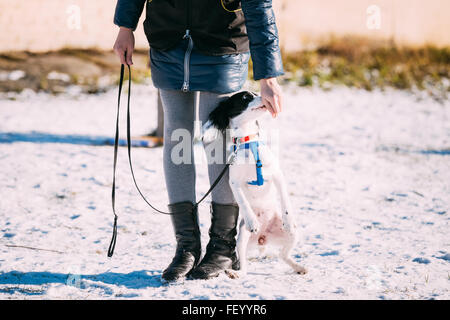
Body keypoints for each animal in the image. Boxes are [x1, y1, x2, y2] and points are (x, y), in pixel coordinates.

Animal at [202, 90, 308, 278]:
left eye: (257, 92)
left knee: (283, 255)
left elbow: (285, 199)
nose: (265, 97)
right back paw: (235, 273)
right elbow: (243, 202)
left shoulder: (277, 175)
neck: (248, 143)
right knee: (244, 266)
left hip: (293, 235)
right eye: (246, 97)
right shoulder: (234, 182)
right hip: (241, 240)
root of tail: (263, 238)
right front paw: (253, 221)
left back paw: (299, 267)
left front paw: (288, 220)